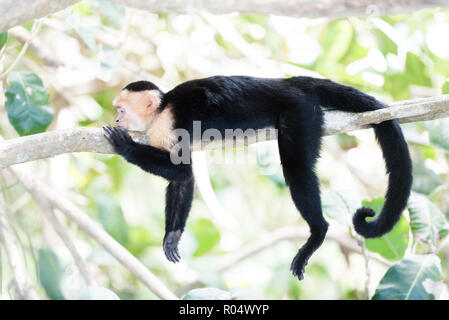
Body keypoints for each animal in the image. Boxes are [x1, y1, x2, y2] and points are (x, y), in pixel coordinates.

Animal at [103, 75, 412, 280]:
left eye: (121, 110)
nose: (117, 120)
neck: (160, 111)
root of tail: (289, 82)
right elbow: (183, 179)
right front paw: (173, 236)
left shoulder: (167, 125)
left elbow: (181, 170)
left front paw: (124, 146)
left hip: (299, 110)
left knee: (297, 169)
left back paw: (317, 232)